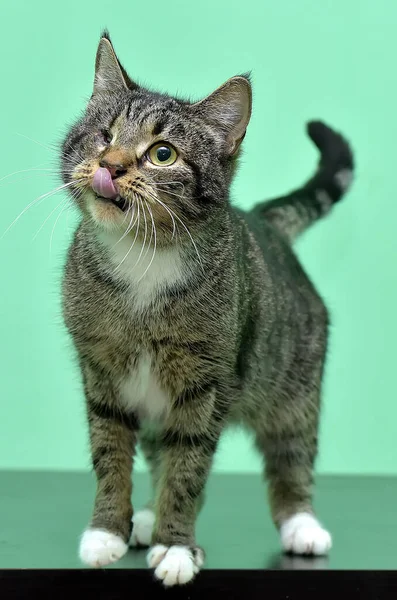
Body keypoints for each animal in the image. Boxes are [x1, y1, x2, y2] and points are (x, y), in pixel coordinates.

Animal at [61, 29, 352, 584]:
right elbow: (111, 453)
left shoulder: (207, 381)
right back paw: (144, 518)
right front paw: (107, 531)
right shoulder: (100, 372)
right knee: (158, 450)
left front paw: (176, 547)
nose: (110, 165)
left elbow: (188, 468)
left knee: (291, 451)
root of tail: (263, 221)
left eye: (163, 154)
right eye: (104, 135)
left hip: (294, 382)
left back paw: (301, 523)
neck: (143, 257)